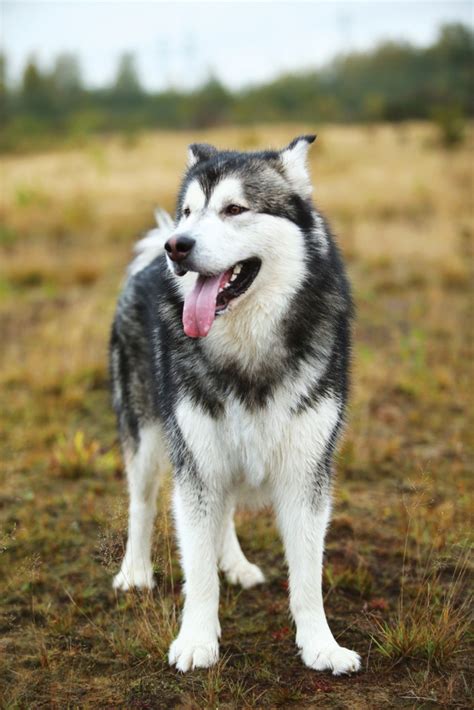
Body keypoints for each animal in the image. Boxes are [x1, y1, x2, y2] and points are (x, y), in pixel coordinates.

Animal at [110, 136, 360, 676]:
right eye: (189, 211)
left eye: (234, 209)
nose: (177, 246)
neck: (247, 348)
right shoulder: (196, 462)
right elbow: (198, 570)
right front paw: (197, 641)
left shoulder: (306, 470)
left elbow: (308, 575)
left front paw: (321, 646)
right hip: (149, 437)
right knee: (142, 503)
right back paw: (135, 571)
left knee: (222, 514)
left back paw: (237, 565)